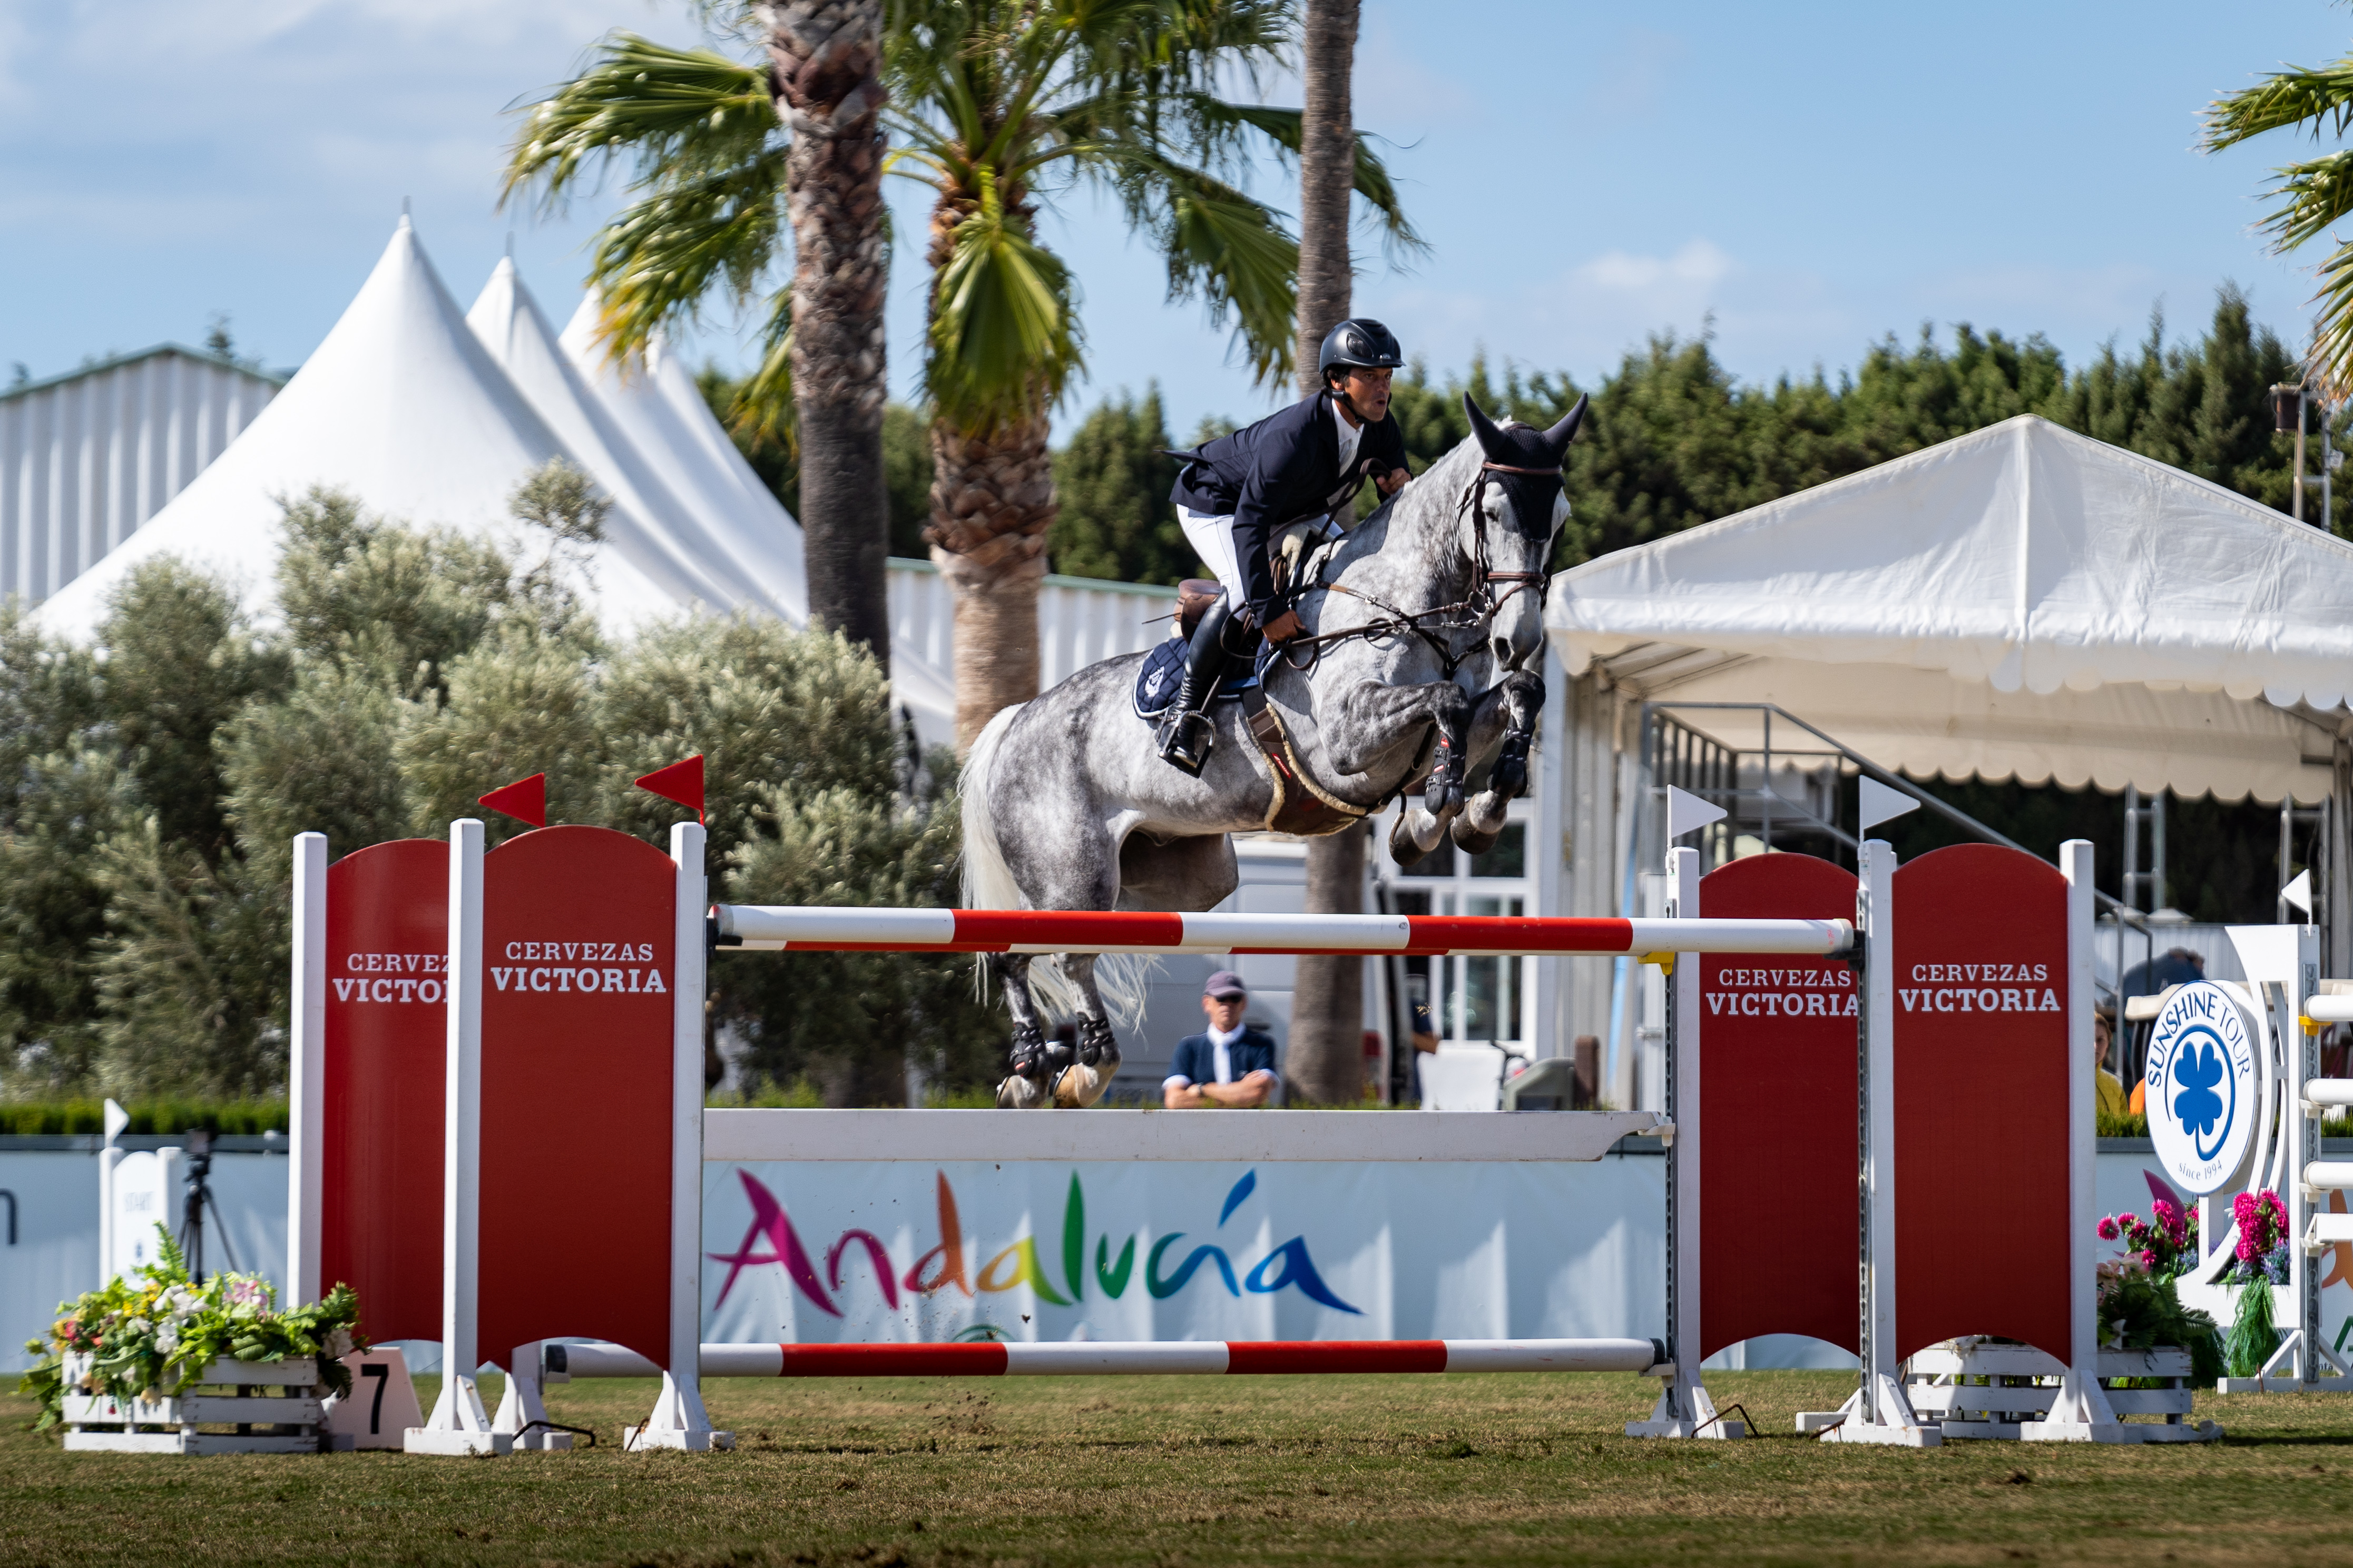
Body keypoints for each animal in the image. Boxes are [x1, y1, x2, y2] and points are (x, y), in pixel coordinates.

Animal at [955, 395, 1581, 1104]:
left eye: (1560, 517)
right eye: (1493, 512)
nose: (1517, 639)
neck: (1406, 606)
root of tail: (1017, 720)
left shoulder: (1459, 714)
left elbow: (1518, 695)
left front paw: (1471, 814)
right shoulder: (1343, 740)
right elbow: (1444, 702)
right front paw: (1441, 804)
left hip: (1180, 882)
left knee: (1033, 947)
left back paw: (1031, 1071)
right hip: (1073, 875)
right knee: (1059, 951)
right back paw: (1077, 1067)